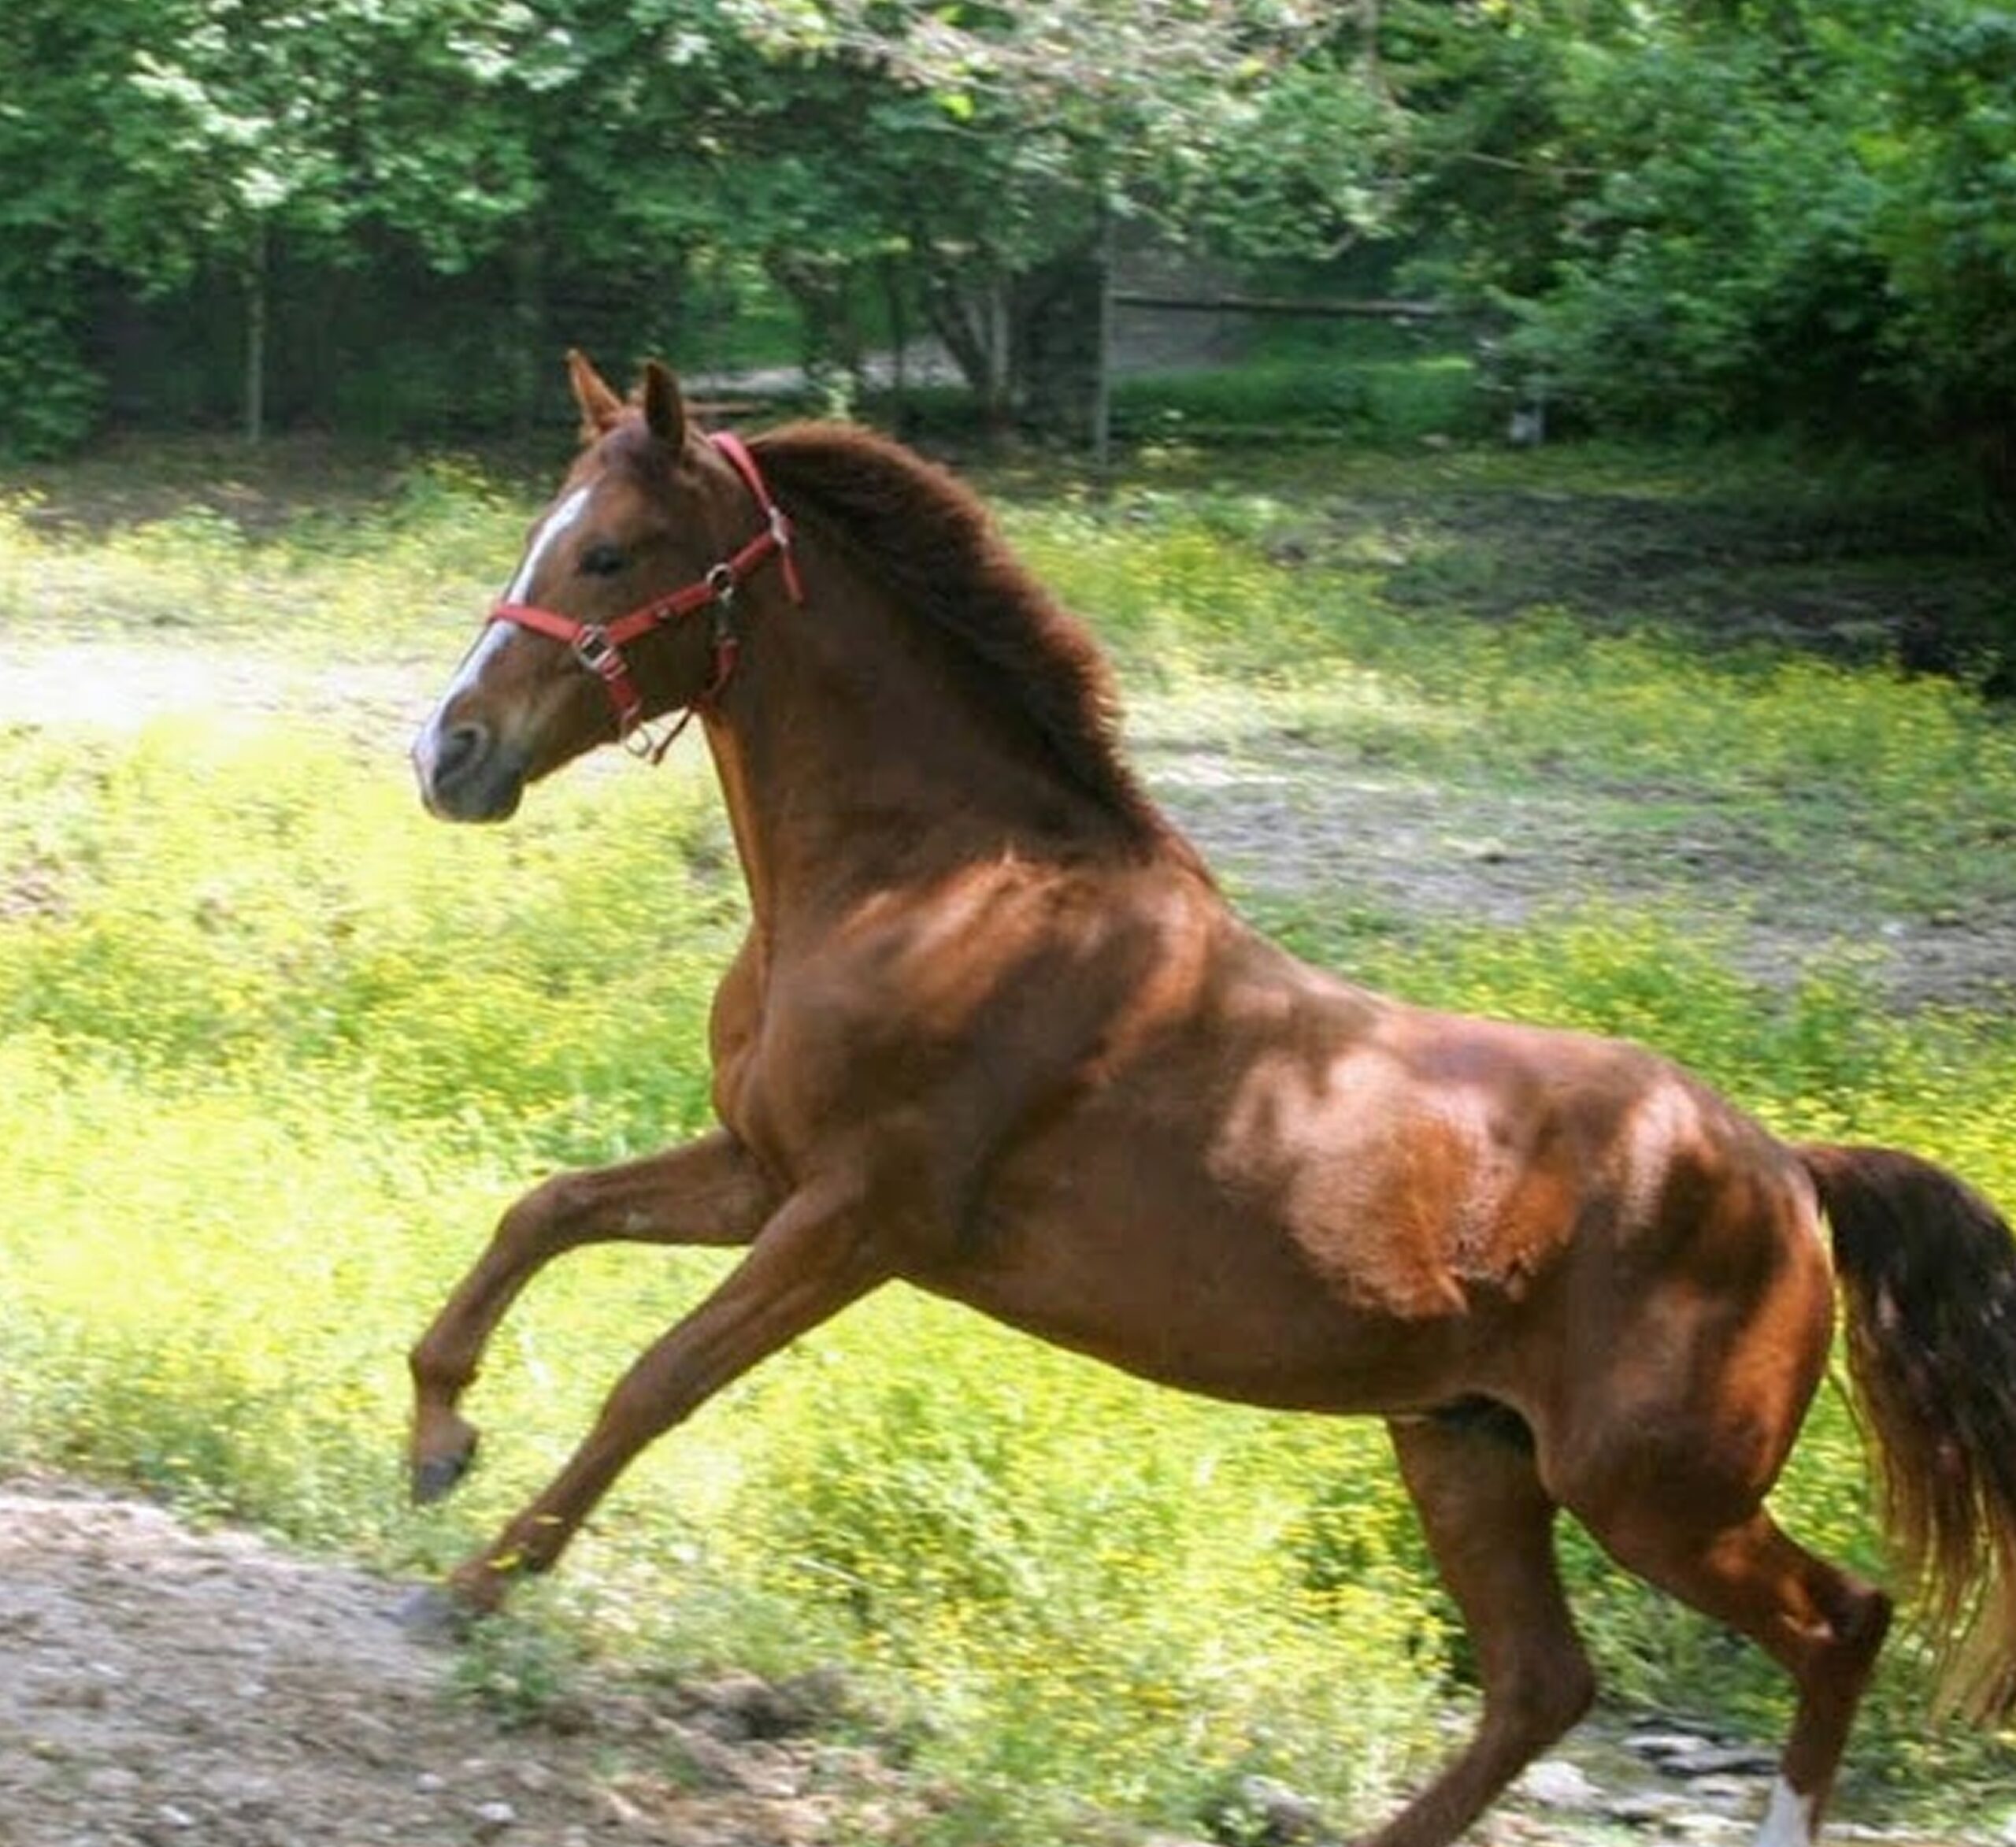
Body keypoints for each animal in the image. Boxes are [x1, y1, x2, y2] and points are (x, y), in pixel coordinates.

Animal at [407, 352, 2016, 1847]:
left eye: (611, 554)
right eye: (544, 533)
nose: (448, 753)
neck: (930, 887)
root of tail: (1792, 1173)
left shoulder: (854, 1220)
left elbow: (656, 1379)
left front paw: (473, 1581)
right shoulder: (759, 1166)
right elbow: (543, 1211)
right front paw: (436, 1439)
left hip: (1654, 1491)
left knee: (1841, 1621)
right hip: (1471, 1450)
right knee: (1541, 1685)